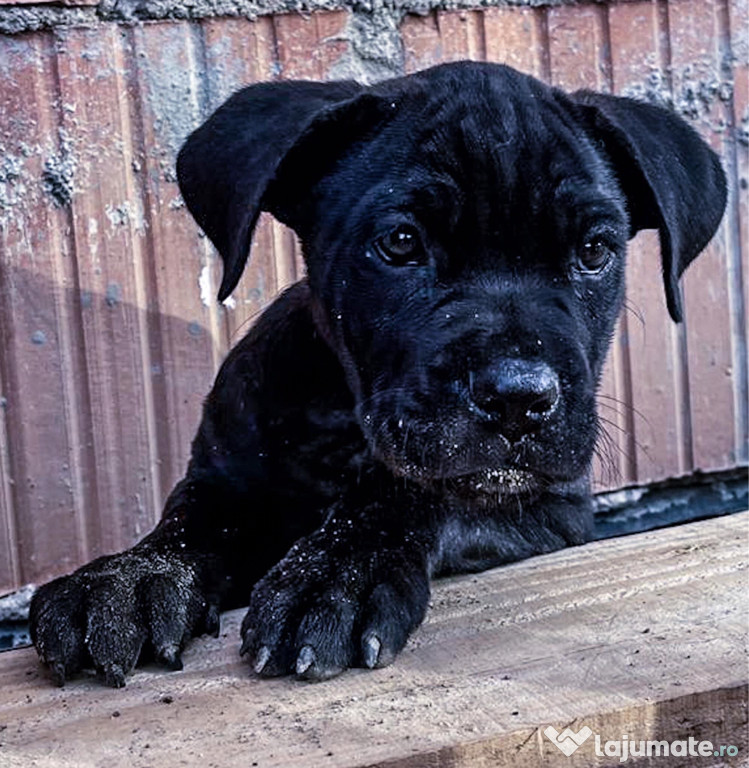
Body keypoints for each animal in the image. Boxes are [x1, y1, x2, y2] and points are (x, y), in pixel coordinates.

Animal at [29, 60, 724, 684]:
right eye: (400, 242)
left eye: (593, 251)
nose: (516, 398)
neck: (342, 424)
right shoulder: (224, 478)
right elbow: (188, 520)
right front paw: (130, 576)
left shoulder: (546, 507)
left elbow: (420, 490)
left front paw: (336, 574)